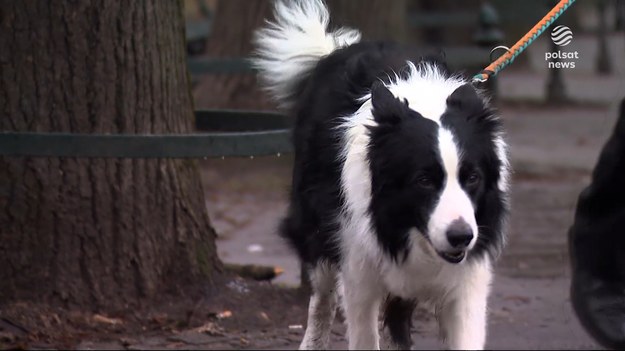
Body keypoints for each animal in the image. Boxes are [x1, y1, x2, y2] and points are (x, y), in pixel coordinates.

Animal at [251, 1, 510, 350]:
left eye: (473, 178)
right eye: (424, 180)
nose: (461, 236)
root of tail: (335, 49)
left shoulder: (467, 279)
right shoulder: (358, 267)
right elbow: (360, 327)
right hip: (317, 226)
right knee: (322, 292)